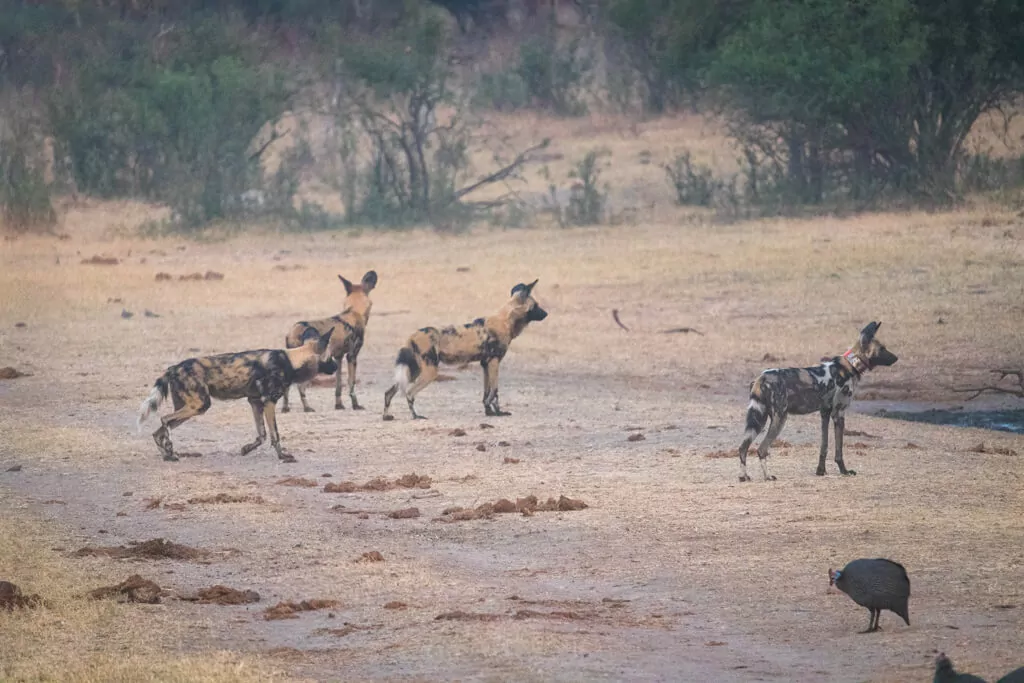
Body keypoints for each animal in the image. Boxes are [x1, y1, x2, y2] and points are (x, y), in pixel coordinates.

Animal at [135, 327, 335, 464]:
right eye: (331, 357)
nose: (335, 367)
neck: (291, 360)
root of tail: (174, 367)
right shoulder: (269, 401)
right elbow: (275, 435)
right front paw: (283, 455)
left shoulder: (255, 402)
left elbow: (262, 434)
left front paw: (246, 449)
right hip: (199, 404)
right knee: (164, 419)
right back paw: (170, 450)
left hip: (190, 407)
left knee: (157, 431)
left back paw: (167, 455)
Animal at [282, 270, 378, 411]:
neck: (353, 312)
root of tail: (295, 329)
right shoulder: (352, 356)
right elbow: (351, 382)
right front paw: (355, 405)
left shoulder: (338, 357)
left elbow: (338, 384)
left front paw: (339, 405)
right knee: (300, 386)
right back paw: (307, 407)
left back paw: (285, 408)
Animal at [382, 278, 544, 419]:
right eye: (536, 305)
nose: (546, 313)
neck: (505, 321)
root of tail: (412, 335)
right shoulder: (494, 362)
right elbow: (495, 392)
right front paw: (498, 413)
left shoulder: (485, 364)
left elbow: (487, 394)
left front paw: (489, 412)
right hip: (430, 372)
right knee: (409, 393)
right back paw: (416, 416)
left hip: (413, 371)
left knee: (389, 392)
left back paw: (387, 416)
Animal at [737, 323, 897, 483]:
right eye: (882, 348)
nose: (896, 357)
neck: (851, 364)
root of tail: (761, 378)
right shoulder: (838, 413)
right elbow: (839, 450)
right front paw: (844, 471)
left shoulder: (824, 413)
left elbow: (823, 446)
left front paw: (821, 471)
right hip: (780, 418)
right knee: (761, 449)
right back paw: (768, 476)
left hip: (759, 419)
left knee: (743, 447)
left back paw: (744, 476)